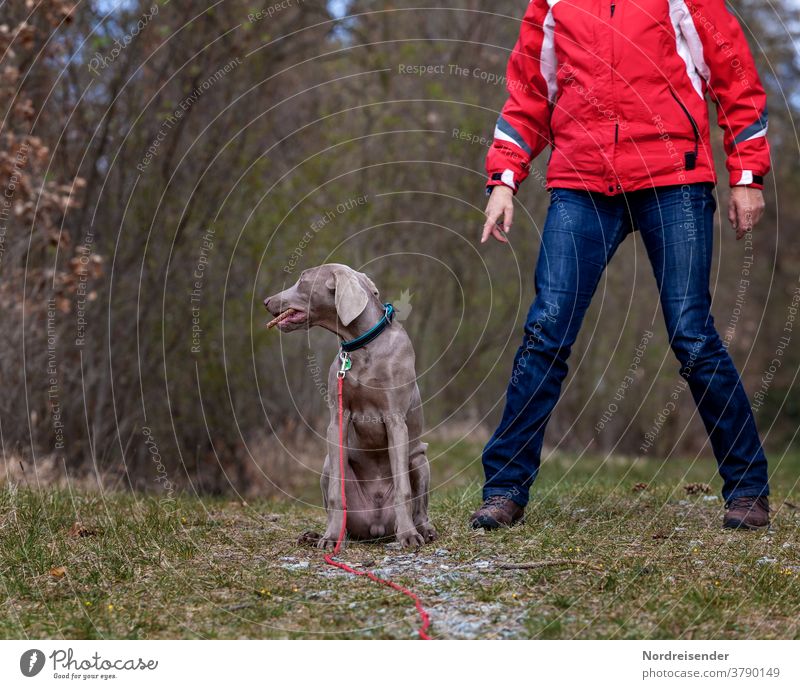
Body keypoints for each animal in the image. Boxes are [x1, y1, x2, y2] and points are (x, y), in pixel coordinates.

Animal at [264, 264, 438, 548]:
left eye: (302, 280)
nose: (267, 301)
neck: (362, 345)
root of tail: (376, 527)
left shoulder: (395, 420)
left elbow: (403, 489)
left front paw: (409, 536)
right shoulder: (337, 421)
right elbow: (337, 493)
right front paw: (331, 537)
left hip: (420, 460)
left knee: (419, 506)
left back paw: (423, 530)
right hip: (327, 465)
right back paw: (318, 535)